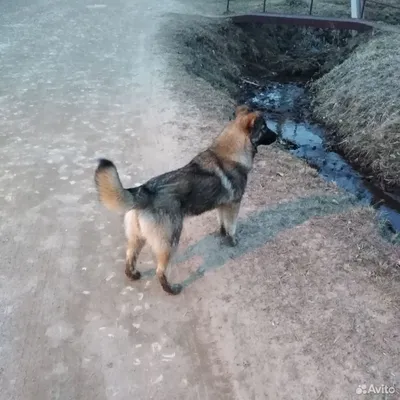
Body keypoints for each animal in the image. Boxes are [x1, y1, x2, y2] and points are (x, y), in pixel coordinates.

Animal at [95, 104, 276, 296]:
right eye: (264, 128)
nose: (277, 137)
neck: (231, 152)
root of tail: (144, 191)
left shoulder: (222, 205)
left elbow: (222, 223)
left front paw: (221, 233)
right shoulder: (233, 205)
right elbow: (232, 227)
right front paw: (232, 241)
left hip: (138, 238)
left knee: (130, 257)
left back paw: (133, 274)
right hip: (170, 240)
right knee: (160, 271)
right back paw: (171, 289)